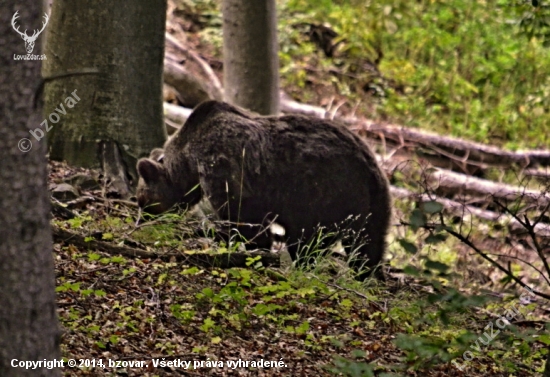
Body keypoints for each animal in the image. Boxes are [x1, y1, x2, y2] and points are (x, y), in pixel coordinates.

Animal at [137, 100, 392, 280]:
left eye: (142, 199)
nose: (141, 220)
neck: (188, 161)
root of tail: (370, 166)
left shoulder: (221, 165)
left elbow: (244, 216)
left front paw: (253, 249)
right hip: (373, 203)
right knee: (367, 243)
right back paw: (366, 274)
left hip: (322, 194)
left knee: (307, 240)